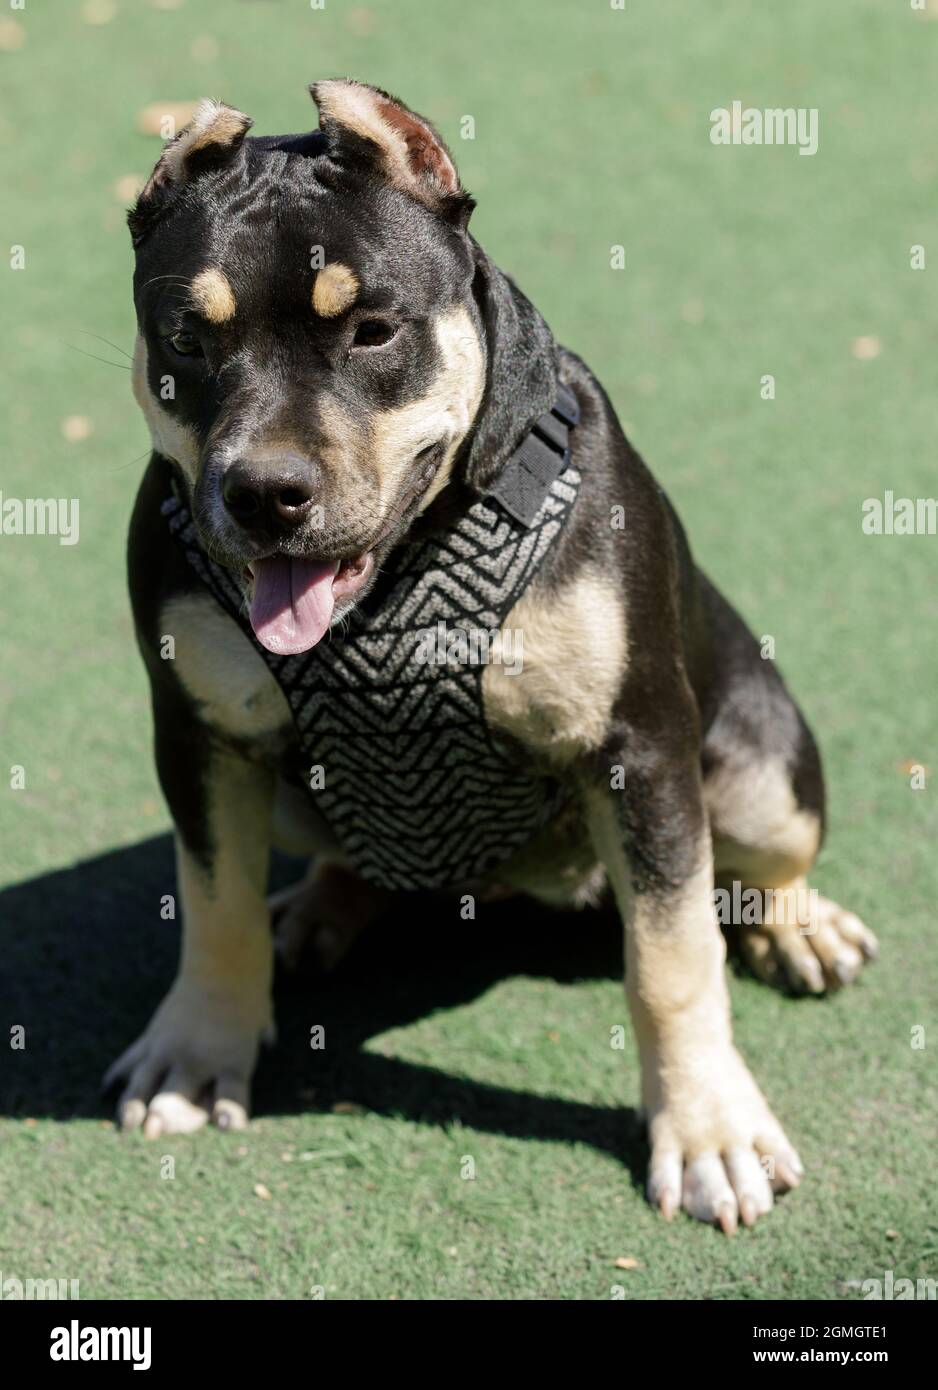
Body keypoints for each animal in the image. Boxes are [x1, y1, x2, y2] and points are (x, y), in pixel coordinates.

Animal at [111, 78, 878, 1228]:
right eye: (186, 343)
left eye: (374, 331)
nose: (263, 492)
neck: (397, 590)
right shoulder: (200, 739)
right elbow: (212, 905)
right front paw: (198, 1052)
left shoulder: (640, 747)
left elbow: (671, 956)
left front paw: (707, 1130)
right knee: (343, 864)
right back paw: (314, 911)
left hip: (760, 765)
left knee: (764, 862)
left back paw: (797, 925)